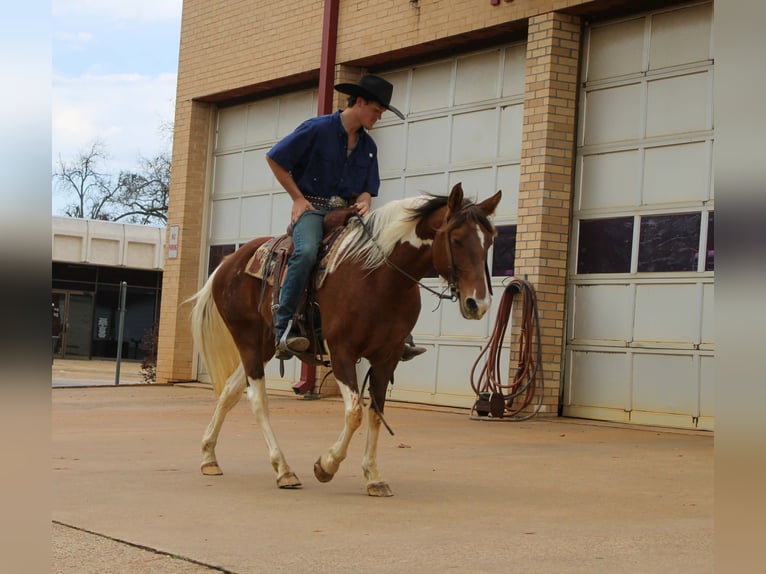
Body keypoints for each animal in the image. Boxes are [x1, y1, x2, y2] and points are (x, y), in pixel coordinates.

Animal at [190, 182, 501, 496]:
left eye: (490, 242)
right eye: (457, 239)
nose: (479, 304)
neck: (378, 276)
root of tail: (227, 264)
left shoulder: (387, 357)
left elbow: (375, 412)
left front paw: (373, 476)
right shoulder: (342, 352)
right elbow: (354, 412)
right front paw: (325, 466)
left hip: (265, 344)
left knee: (230, 391)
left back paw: (208, 456)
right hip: (248, 340)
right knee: (257, 399)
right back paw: (284, 470)